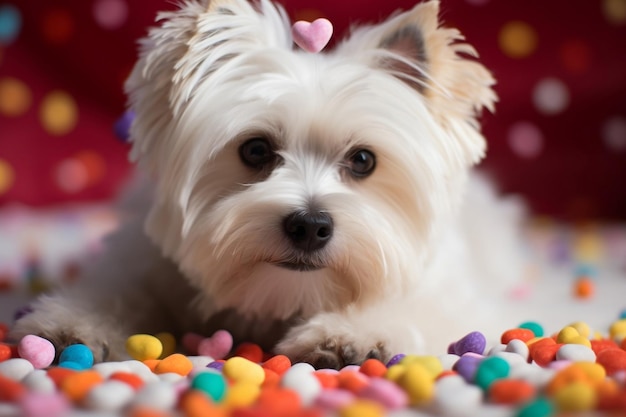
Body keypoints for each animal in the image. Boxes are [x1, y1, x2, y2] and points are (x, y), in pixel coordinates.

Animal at [12, 0, 524, 368]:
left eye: (363, 160)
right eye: (255, 150)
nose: (310, 226)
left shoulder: (450, 295)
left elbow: (420, 310)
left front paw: (348, 334)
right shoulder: (143, 262)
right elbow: (115, 288)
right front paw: (70, 323)